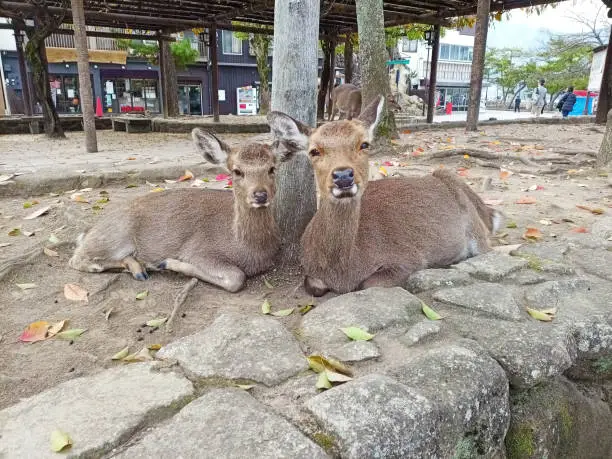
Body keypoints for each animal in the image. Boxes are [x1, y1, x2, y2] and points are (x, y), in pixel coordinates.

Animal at [69, 128, 290, 294]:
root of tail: (88, 231)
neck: (251, 250)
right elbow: (236, 277)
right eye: (237, 171)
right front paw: (167, 263)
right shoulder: (199, 250)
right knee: (78, 259)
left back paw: (139, 267)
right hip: (114, 237)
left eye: (272, 168)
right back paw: (142, 266)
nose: (260, 195)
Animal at [268, 98, 502, 296]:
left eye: (364, 144)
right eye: (314, 151)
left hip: (475, 228)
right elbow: (312, 285)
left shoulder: (408, 259)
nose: (343, 175)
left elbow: (367, 284)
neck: (341, 270)